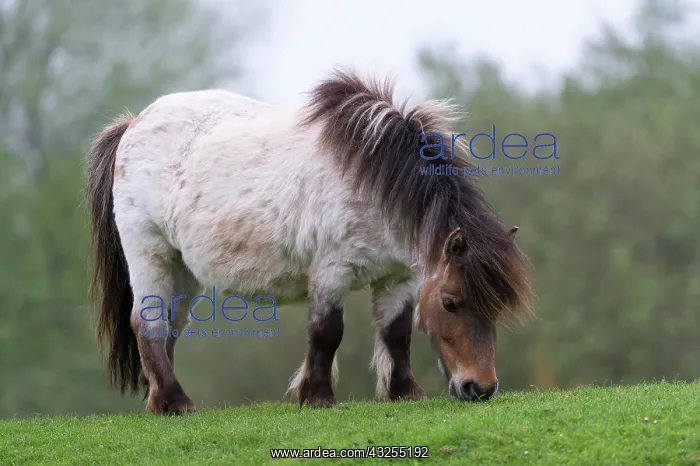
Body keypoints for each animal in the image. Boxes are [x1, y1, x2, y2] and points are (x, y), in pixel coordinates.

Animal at [86, 69, 533, 415]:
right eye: (450, 303)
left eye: (497, 306)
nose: (480, 388)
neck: (369, 180)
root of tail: (133, 125)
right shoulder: (331, 271)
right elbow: (327, 332)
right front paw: (317, 397)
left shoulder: (399, 277)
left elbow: (397, 333)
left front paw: (406, 393)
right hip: (151, 255)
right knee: (147, 322)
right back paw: (176, 402)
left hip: (182, 269)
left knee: (170, 327)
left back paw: (158, 400)